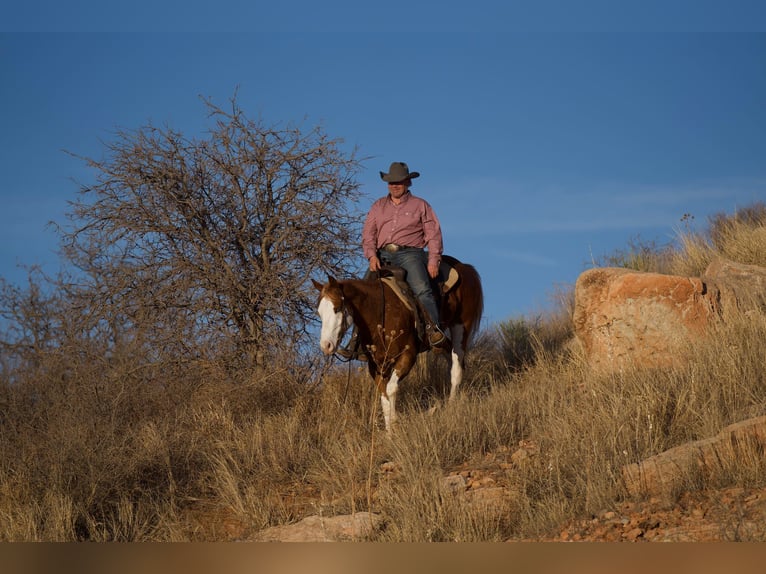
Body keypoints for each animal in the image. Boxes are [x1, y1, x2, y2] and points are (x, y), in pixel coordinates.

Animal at [310, 256, 480, 432]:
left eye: (337, 308)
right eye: (319, 312)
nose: (326, 345)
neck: (381, 310)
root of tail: (464, 267)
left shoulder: (407, 357)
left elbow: (391, 389)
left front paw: (395, 425)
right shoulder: (377, 365)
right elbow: (384, 398)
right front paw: (389, 433)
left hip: (461, 326)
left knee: (457, 367)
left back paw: (451, 407)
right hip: (441, 343)